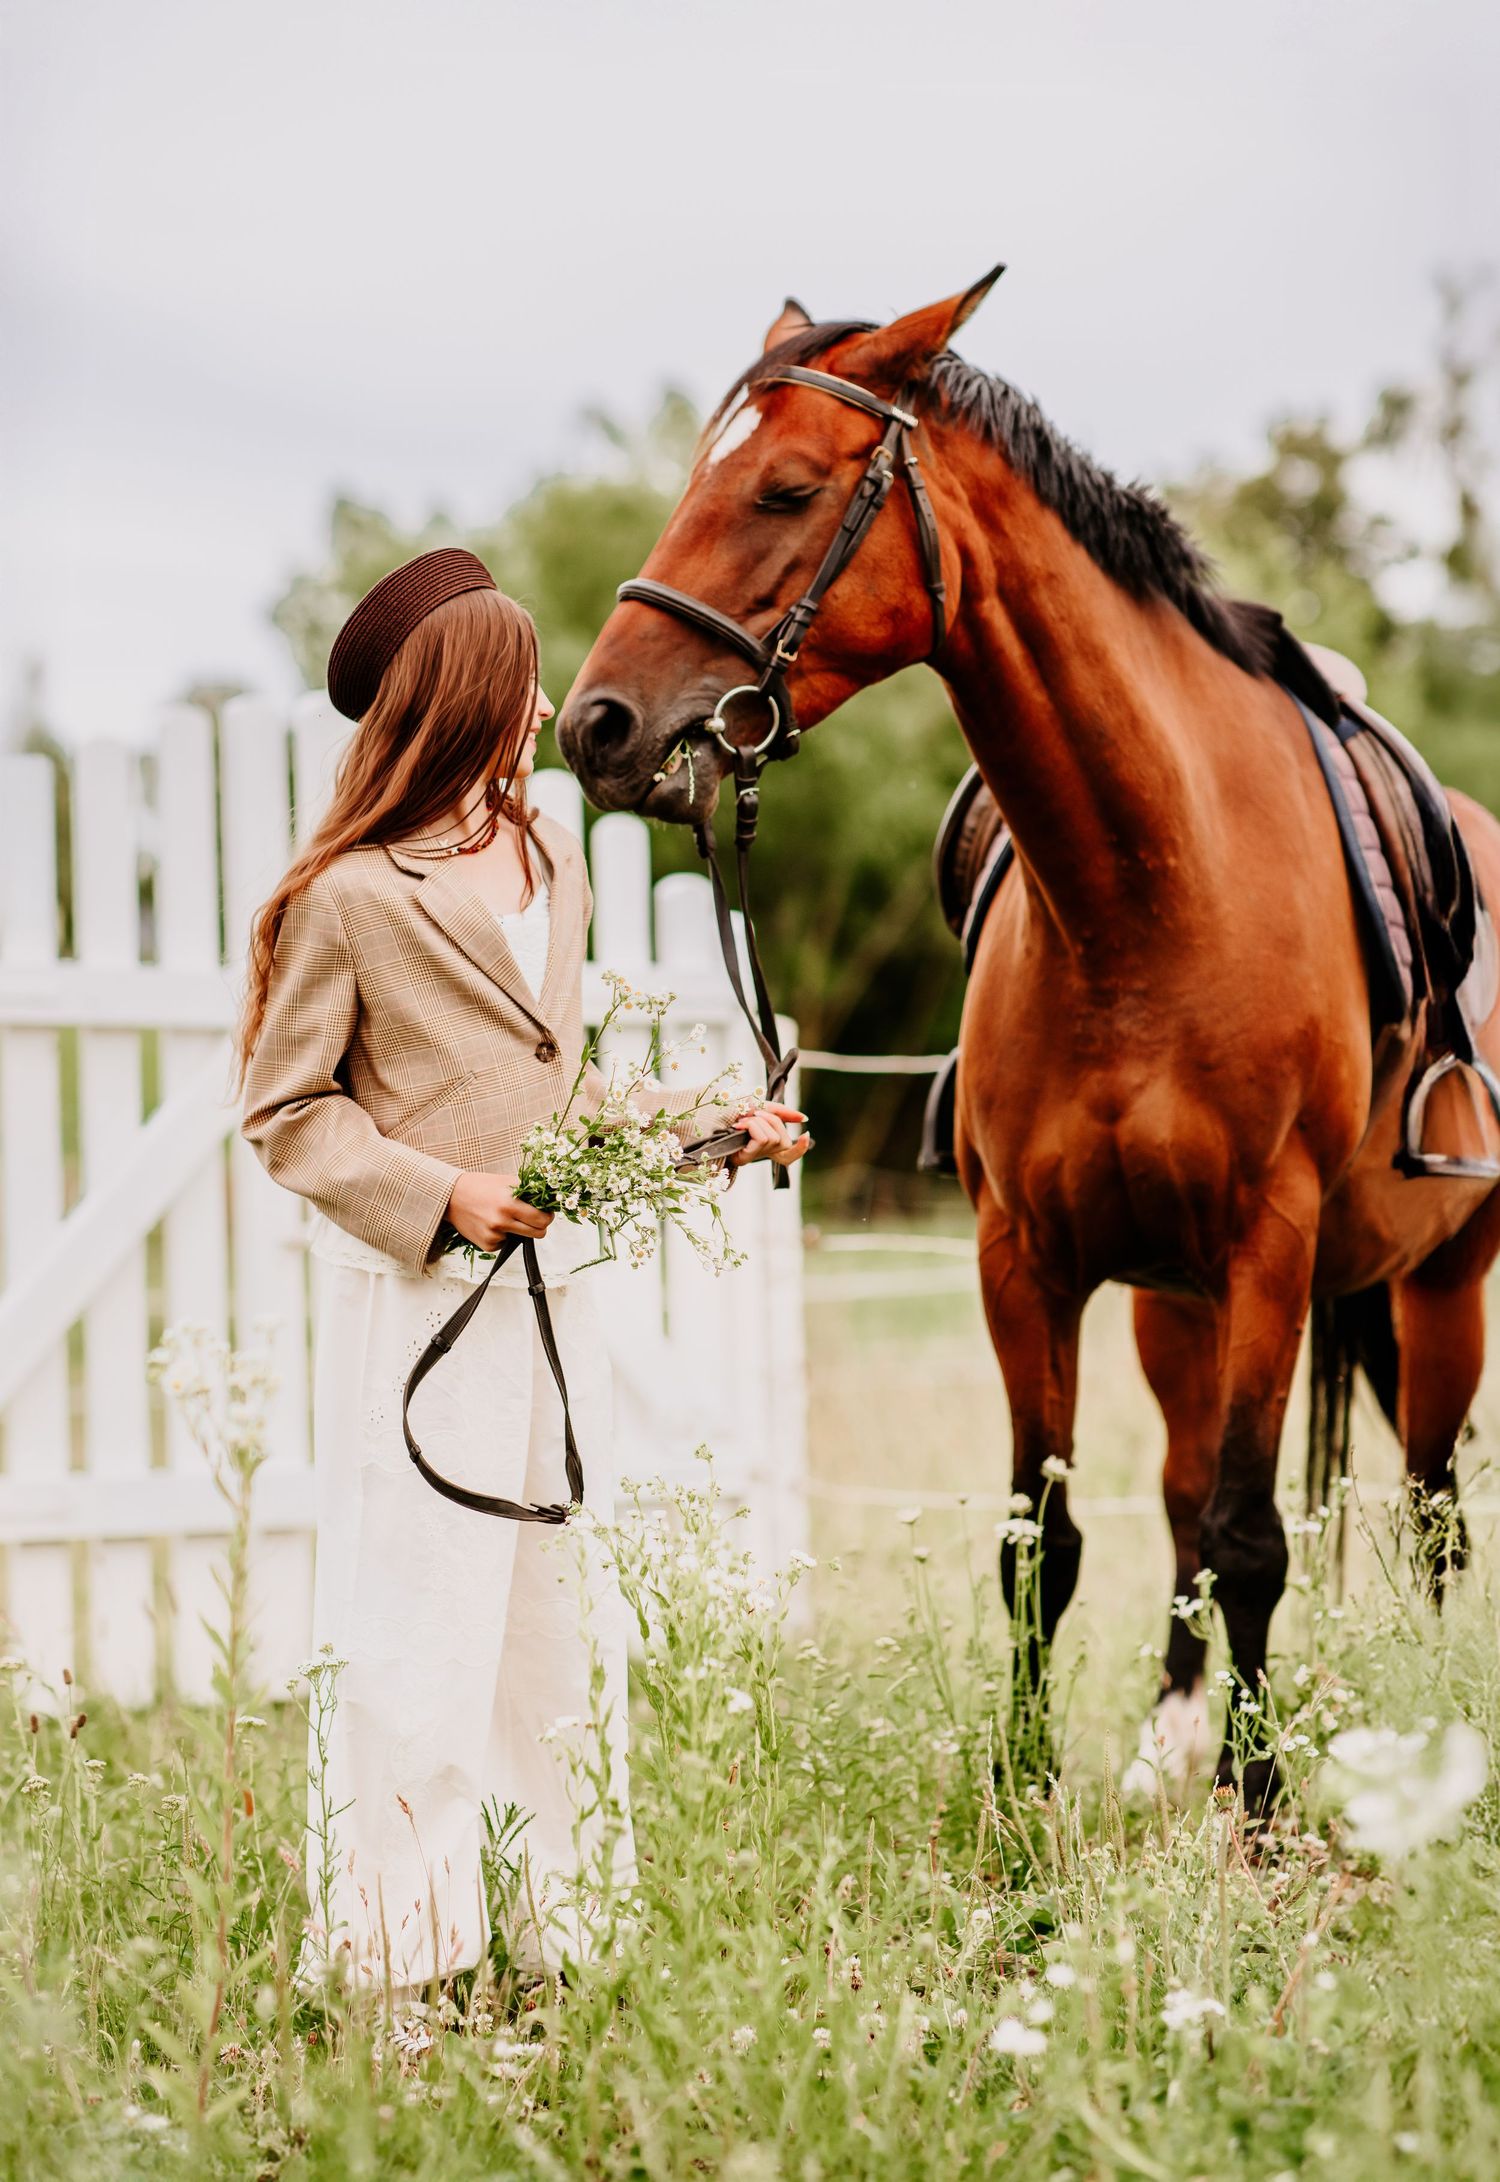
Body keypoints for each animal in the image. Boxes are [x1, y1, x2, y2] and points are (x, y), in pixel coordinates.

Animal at [556, 272, 1500, 1808]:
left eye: (784, 488)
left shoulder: (1271, 1250)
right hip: (1178, 1307)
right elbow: (1041, 1543)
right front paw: (1023, 1786)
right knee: (1183, 1501)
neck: (1147, 893)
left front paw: (1259, 1807)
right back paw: (1171, 1741)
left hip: (1440, 1284)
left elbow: (1254, 1539)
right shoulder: (1026, 1261)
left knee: (1425, 1510)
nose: (596, 724)